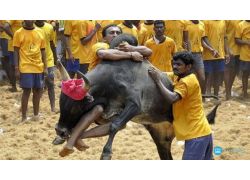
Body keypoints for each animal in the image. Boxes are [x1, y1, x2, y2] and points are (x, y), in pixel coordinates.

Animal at [55, 34, 220, 160]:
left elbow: (114, 126)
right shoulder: (108, 112)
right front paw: (75, 142)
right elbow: (110, 124)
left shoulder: (134, 105)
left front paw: (106, 153)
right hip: (161, 139)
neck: (112, 78)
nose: (60, 131)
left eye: (76, 105)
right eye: (61, 102)